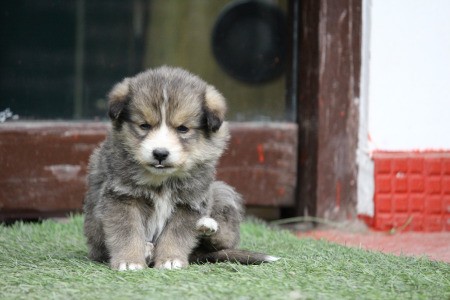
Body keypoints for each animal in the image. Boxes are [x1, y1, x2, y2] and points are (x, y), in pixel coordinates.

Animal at [82, 67, 276, 270]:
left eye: (182, 128)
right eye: (144, 125)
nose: (160, 153)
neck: (162, 178)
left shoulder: (190, 201)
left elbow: (176, 234)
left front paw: (170, 259)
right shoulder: (122, 196)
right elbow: (127, 231)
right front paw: (129, 261)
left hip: (221, 191)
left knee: (223, 240)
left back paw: (207, 225)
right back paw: (148, 249)